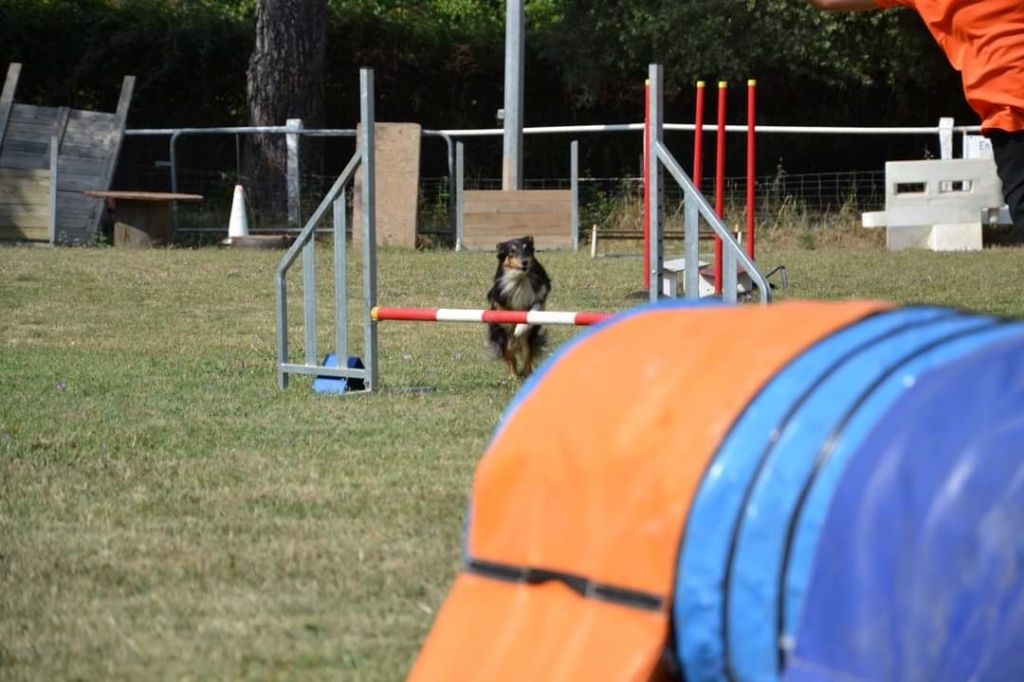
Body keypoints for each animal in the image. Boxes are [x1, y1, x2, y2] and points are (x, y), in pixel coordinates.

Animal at [487, 236, 552, 376]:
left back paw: (527, 372)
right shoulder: (498, 297)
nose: (525, 262)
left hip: (529, 338)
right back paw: (513, 375)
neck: (520, 278)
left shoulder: (540, 295)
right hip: (501, 338)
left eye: (526, 249)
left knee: (527, 354)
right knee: (510, 355)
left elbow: (533, 309)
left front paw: (519, 328)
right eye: (512, 251)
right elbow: (505, 313)